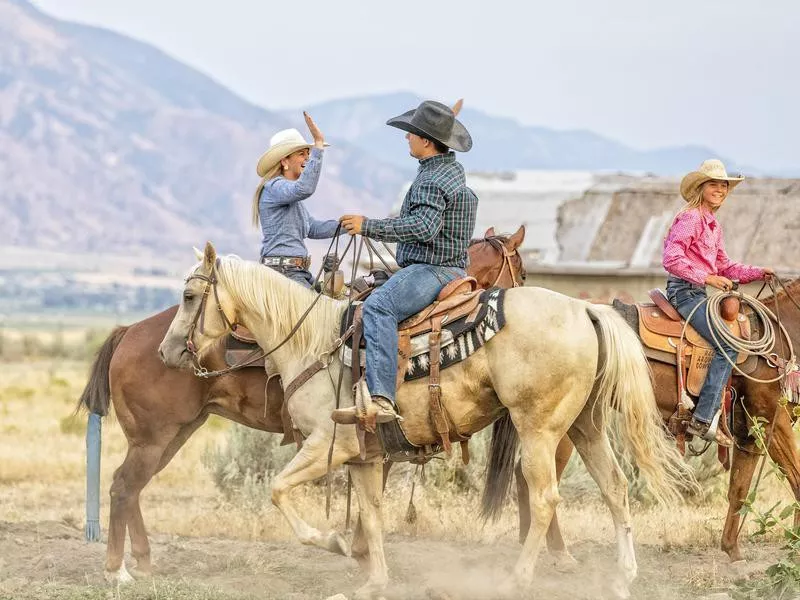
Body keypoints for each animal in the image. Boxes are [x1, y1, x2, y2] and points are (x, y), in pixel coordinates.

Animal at [76, 225, 524, 580]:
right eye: (520, 269)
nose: (169, 351)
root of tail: (129, 331)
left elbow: (370, 502)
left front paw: (361, 554)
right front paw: (356, 552)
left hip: (173, 434)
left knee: (131, 488)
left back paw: (142, 562)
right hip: (154, 438)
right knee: (123, 487)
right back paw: (117, 571)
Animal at [158, 241, 692, 596]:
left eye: (189, 297)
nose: (168, 352)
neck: (313, 342)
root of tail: (585, 310)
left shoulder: (327, 445)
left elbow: (278, 489)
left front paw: (332, 542)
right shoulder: (365, 458)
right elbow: (372, 515)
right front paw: (372, 580)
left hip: (539, 429)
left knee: (544, 499)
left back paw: (516, 579)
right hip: (586, 426)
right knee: (616, 488)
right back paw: (622, 577)